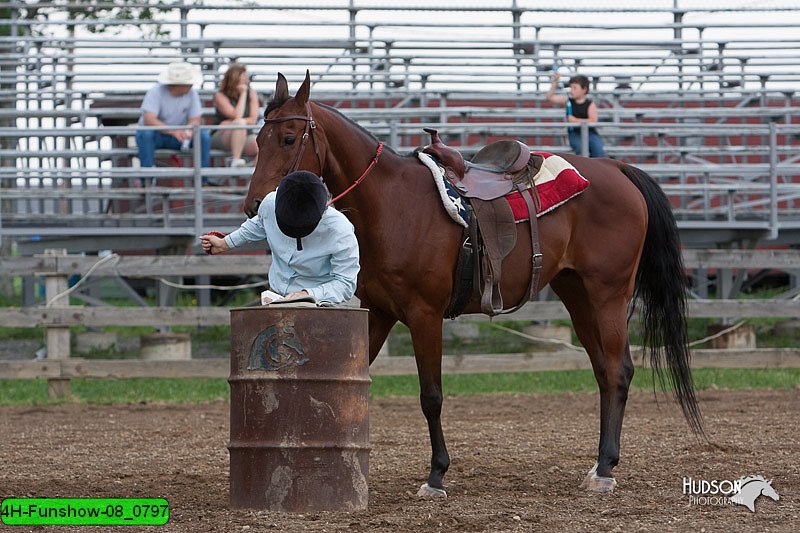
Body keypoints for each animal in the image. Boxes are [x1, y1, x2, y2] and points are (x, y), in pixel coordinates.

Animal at [242, 72, 700, 496]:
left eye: (288, 138)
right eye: (259, 140)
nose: (254, 205)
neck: (391, 204)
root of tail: (617, 169)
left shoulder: (425, 315)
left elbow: (431, 396)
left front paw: (436, 475)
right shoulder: (380, 314)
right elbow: (353, 377)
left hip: (608, 293)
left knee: (620, 370)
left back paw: (605, 470)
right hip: (577, 294)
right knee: (605, 370)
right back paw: (600, 463)